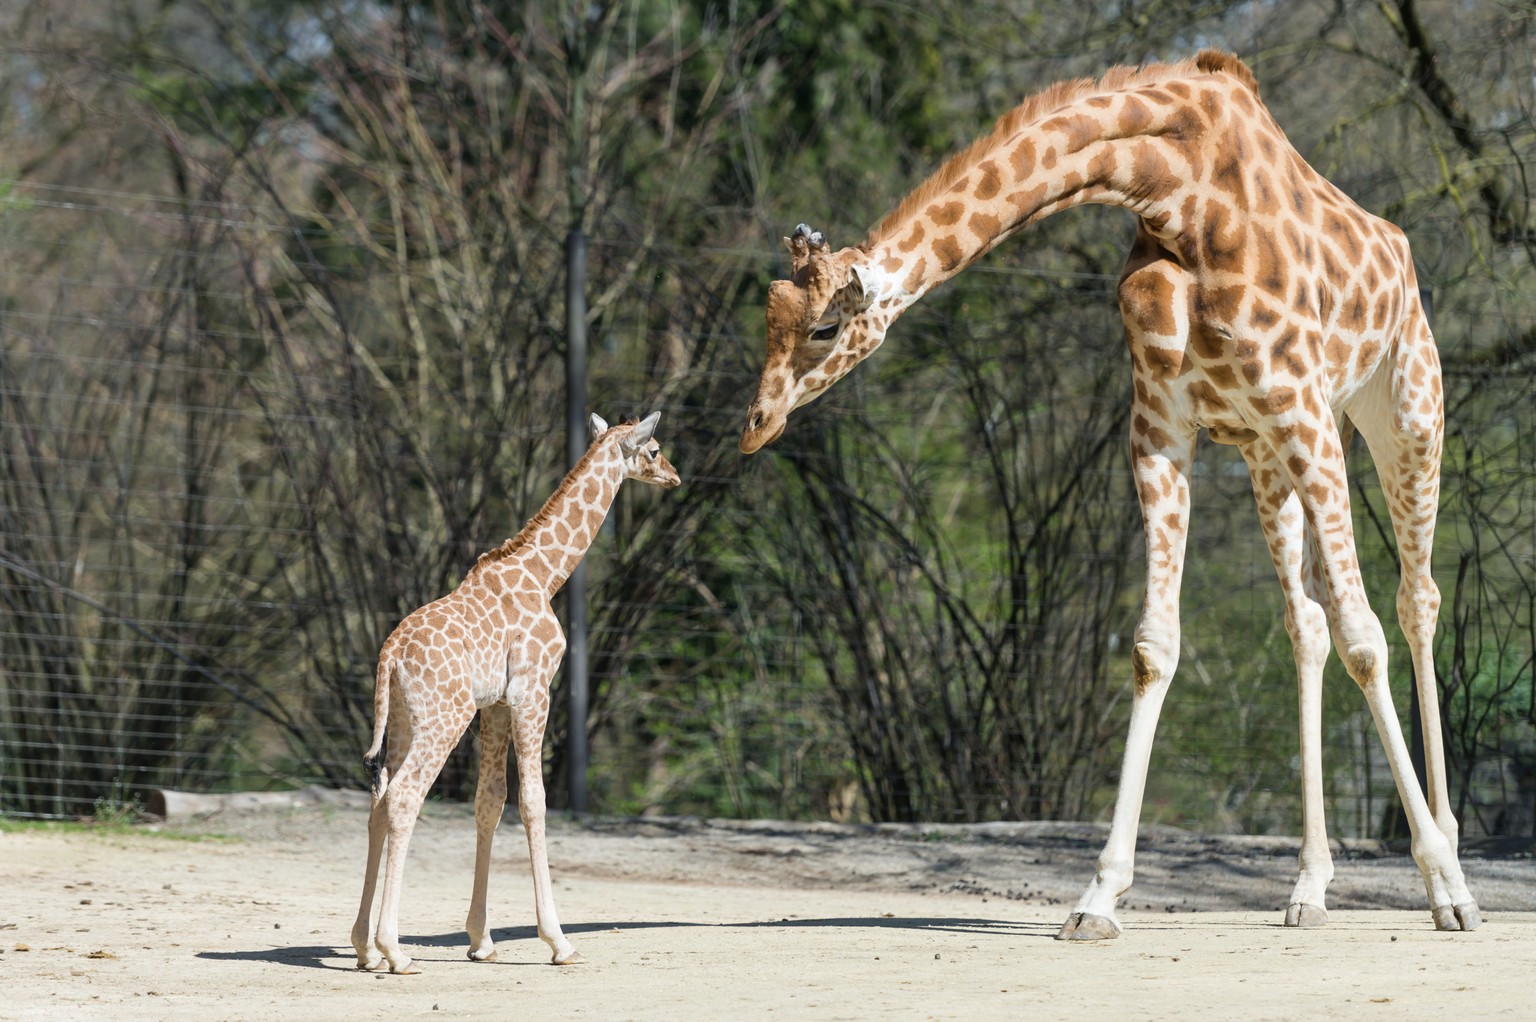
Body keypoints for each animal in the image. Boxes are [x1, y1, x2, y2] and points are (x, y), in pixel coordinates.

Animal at [353, 408, 685, 971]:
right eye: (656, 448)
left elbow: (490, 801)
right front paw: (559, 941)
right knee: (403, 798)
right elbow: (534, 800)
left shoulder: (496, 706)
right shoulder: (535, 689)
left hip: (401, 719)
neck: (545, 574)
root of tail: (390, 654)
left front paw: (481, 941)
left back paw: (362, 948)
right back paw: (393, 950)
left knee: (378, 802)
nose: (675, 477)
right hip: (445, 715)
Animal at [737, 51, 1480, 934]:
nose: (754, 424)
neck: (1176, 193)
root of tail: (1400, 250)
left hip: (1402, 415)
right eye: (769, 319)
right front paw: (1098, 895)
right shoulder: (1162, 426)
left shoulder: (1300, 407)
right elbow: (1156, 646)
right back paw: (1308, 887)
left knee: (1414, 601)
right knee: (1307, 622)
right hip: (1270, 456)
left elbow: (1368, 639)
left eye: (822, 328)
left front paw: (1444, 882)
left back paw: (1451, 855)